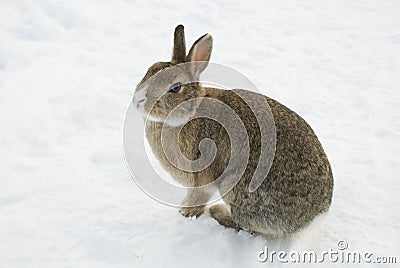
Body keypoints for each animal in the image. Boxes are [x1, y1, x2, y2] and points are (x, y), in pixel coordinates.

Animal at [133, 24, 332, 236]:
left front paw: (185, 212)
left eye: (176, 88)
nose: (138, 99)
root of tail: (315, 216)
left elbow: (198, 197)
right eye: (150, 70)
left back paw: (219, 212)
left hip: (237, 187)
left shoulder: (201, 177)